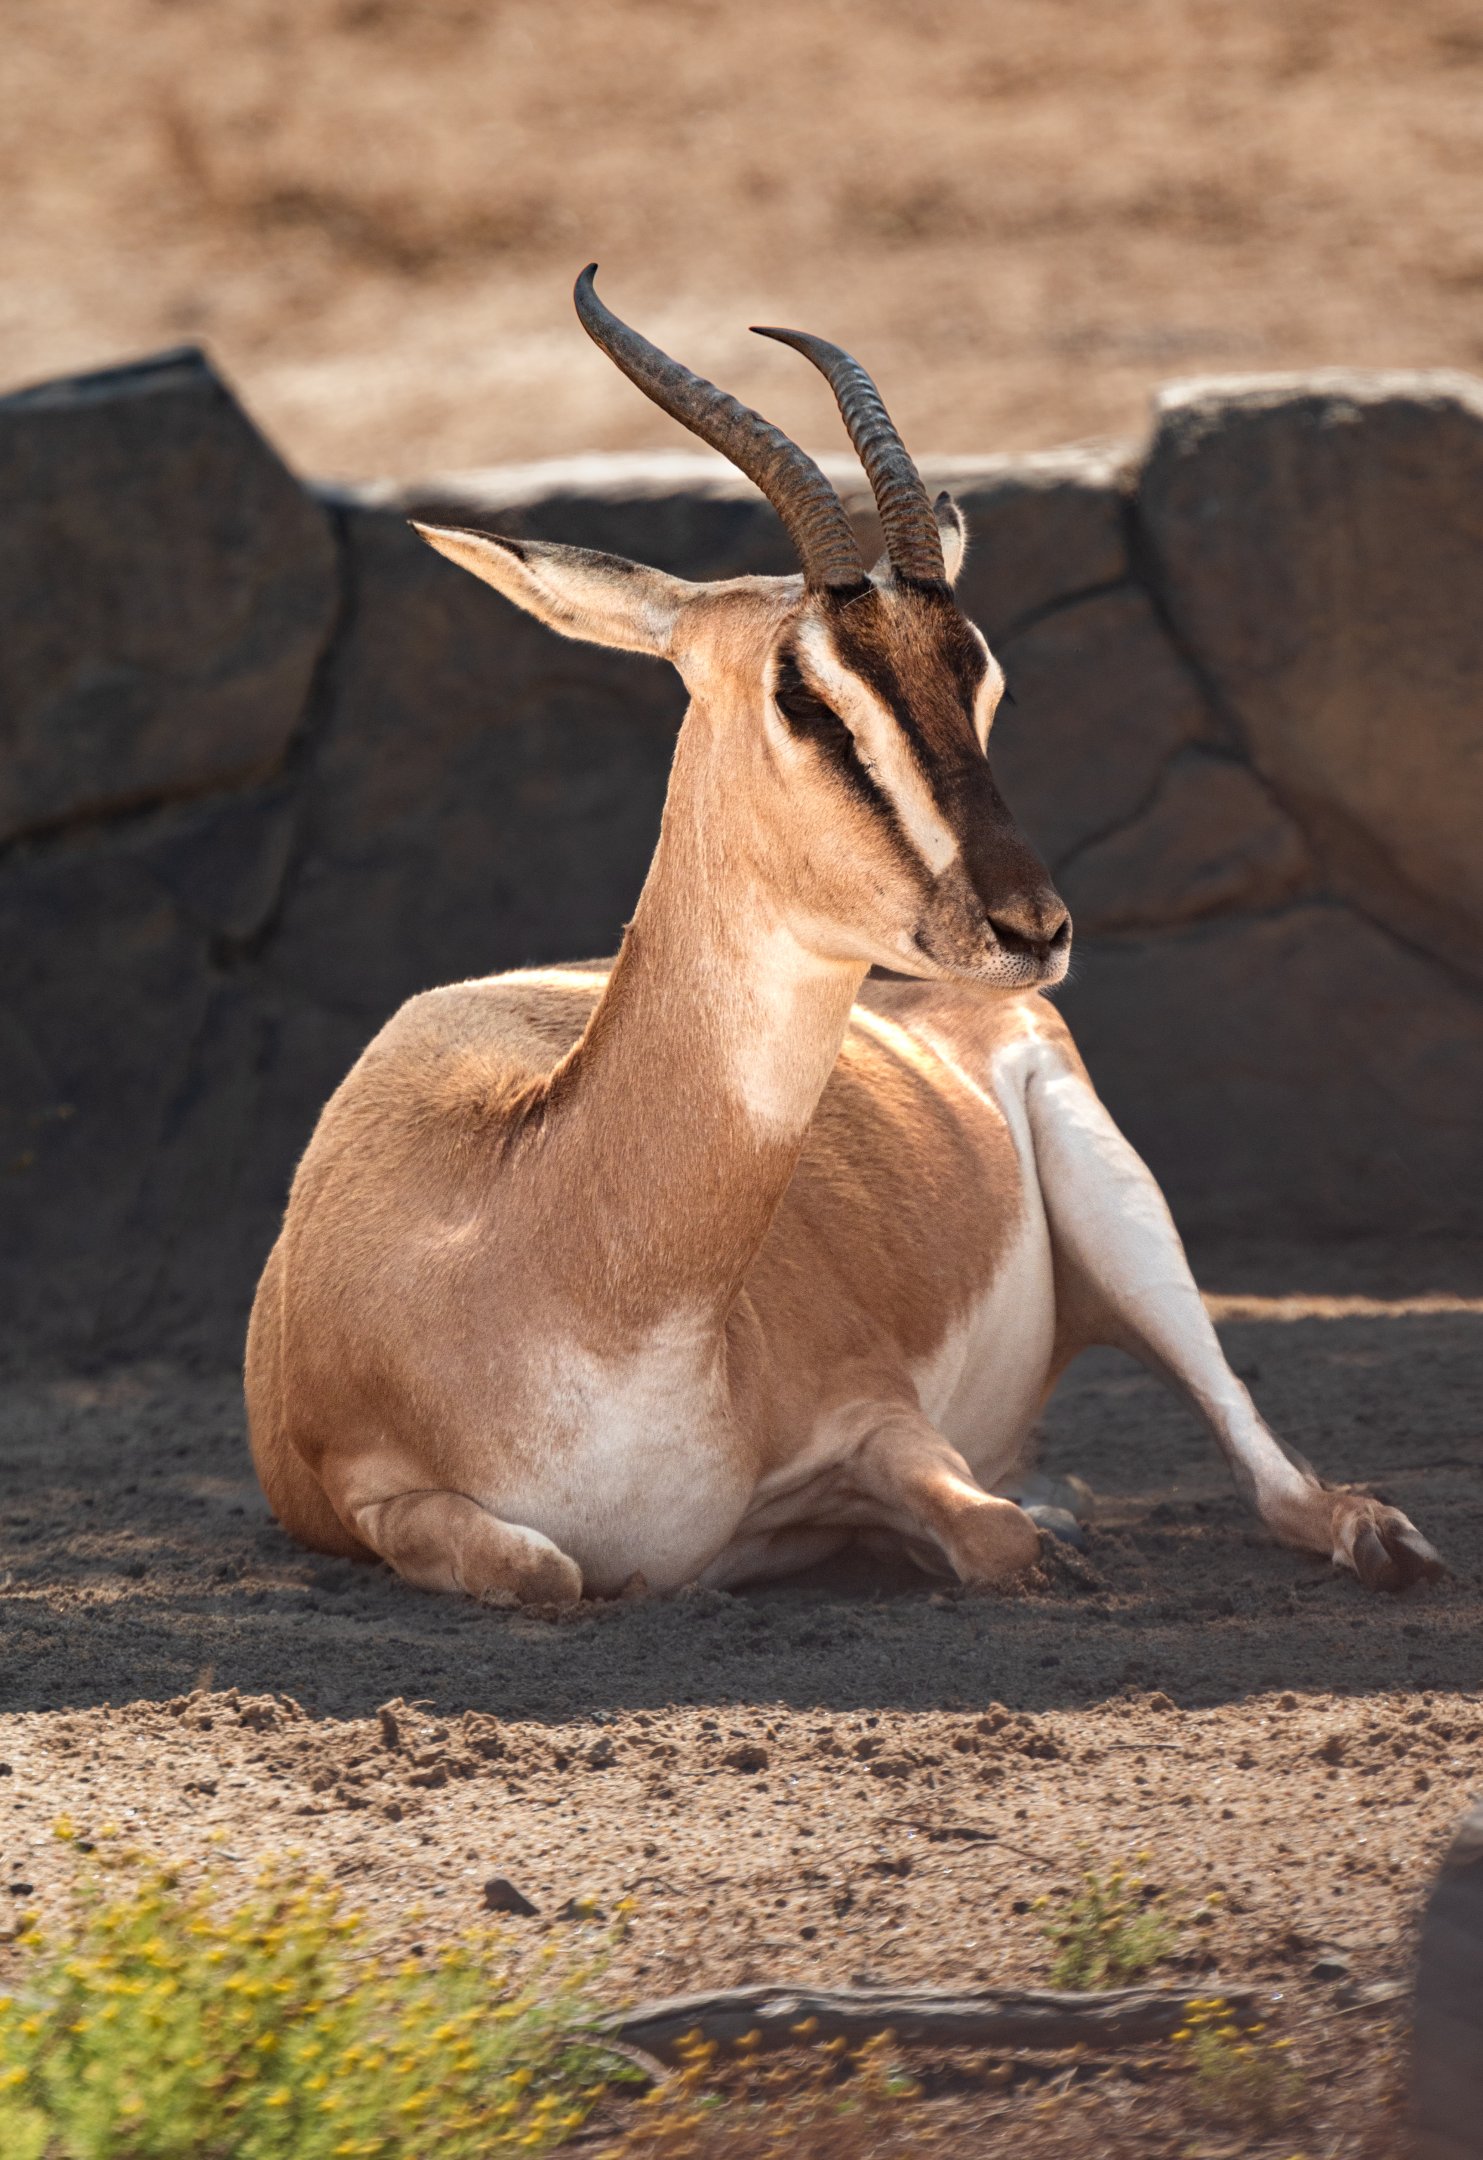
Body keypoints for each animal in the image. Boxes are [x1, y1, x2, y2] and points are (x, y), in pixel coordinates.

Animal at [245, 268, 1443, 1606]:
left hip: (1123, 1211)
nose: (1030, 925)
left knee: (1271, 1471)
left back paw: (1376, 1538)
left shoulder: (877, 1415)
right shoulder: (366, 1495)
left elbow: (993, 1535)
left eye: (980, 679)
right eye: (806, 696)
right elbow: (546, 1571)